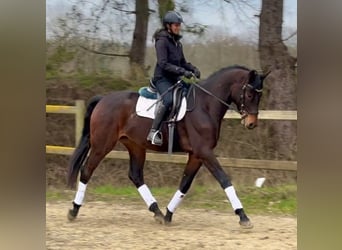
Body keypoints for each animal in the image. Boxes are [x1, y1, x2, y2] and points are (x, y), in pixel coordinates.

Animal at [66, 64, 270, 229]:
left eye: (260, 95)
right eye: (250, 94)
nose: (251, 124)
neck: (204, 106)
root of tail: (103, 99)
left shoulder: (196, 155)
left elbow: (185, 184)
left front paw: (168, 215)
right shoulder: (204, 152)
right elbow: (224, 179)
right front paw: (243, 217)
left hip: (135, 146)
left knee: (135, 175)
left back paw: (156, 211)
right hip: (102, 145)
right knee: (86, 170)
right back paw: (74, 211)